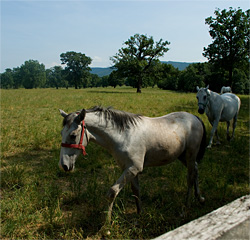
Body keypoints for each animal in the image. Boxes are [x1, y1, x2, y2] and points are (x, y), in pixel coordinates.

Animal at [59, 107, 207, 221]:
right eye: (62, 133)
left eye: (73, 135)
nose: (63, 166)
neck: (123, 135)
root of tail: (195, 117)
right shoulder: (130, 170)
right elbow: (136, 191)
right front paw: (140, 214)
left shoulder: (133, 168)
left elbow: (112, 192)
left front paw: (106, 224)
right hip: (183, 157)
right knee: (196, 170)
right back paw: (199, 198)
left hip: (190, 155)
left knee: (190, 178)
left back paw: (186, 207)